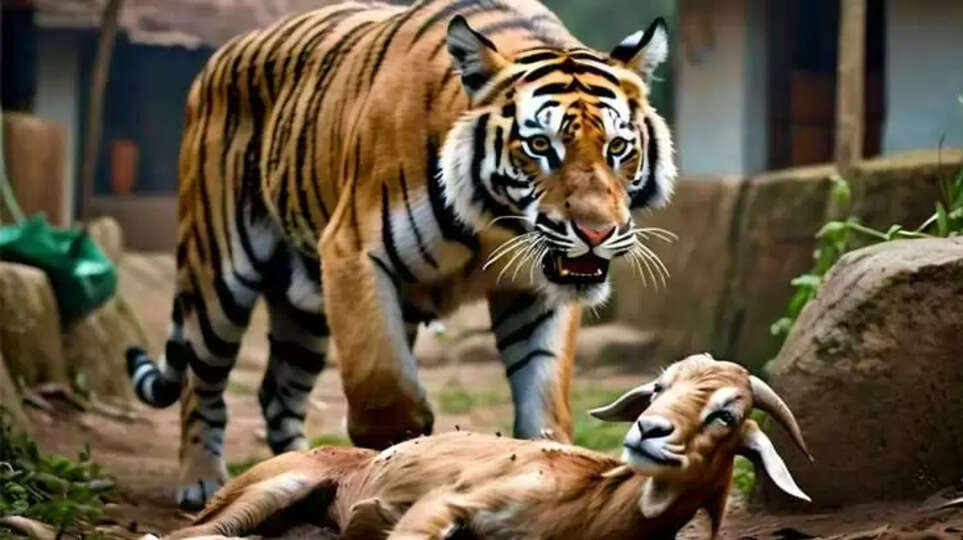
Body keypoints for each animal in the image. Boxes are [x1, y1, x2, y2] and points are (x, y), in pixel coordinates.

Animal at [125, 0, 676, 510]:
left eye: (619, 148)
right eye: (540, 146)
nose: (596, 231)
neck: (495, 225)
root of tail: (218, 57)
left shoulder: (537, 291)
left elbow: (543, 395)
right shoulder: (351, 252)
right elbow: (381, 378)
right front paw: (404, 445)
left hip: (304, 309)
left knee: (278, 390)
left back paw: (295, 462)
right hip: (218, 277)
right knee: (201, 382)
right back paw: (201, 481)